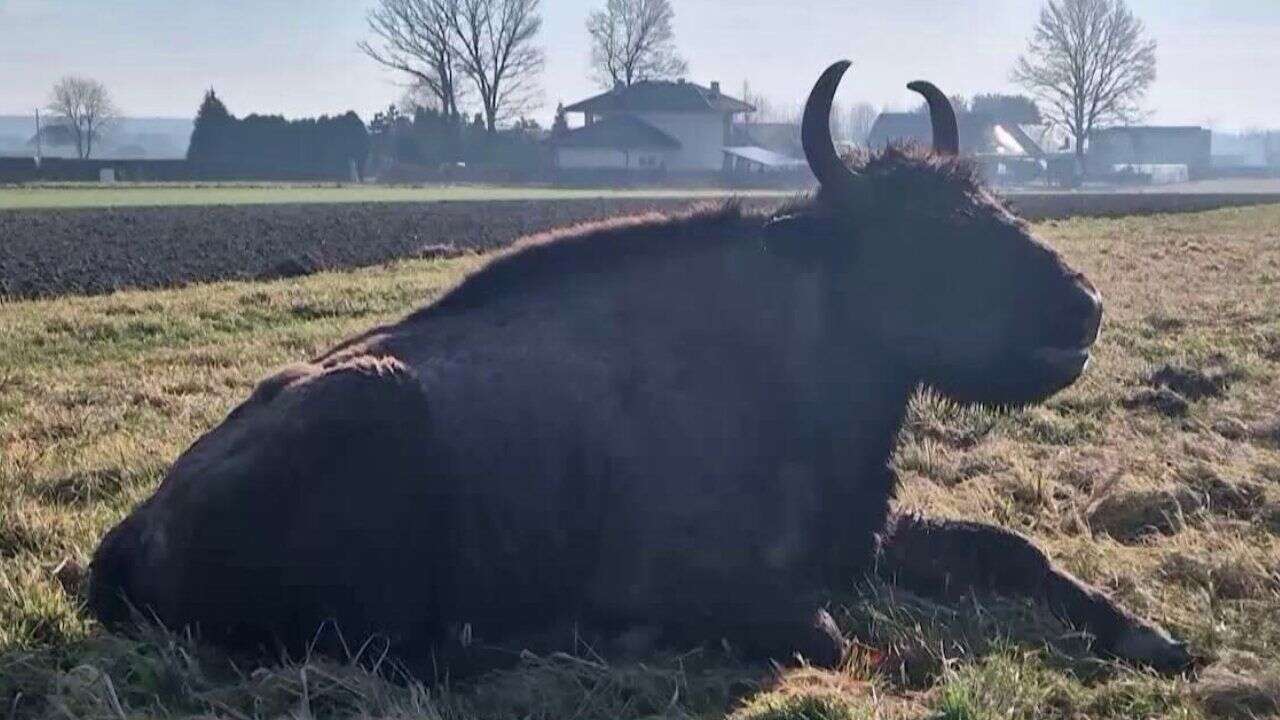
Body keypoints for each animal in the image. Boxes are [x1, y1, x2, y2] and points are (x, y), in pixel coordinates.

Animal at [90, 61, 1187, 671]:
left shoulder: (872, 535)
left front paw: (1150, 637)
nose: (1080, 306)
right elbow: (828, 633)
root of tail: (132, 533)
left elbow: (1014, 551)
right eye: (913, 231)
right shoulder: (741, 588)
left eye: (985, 196)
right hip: (374, 413)